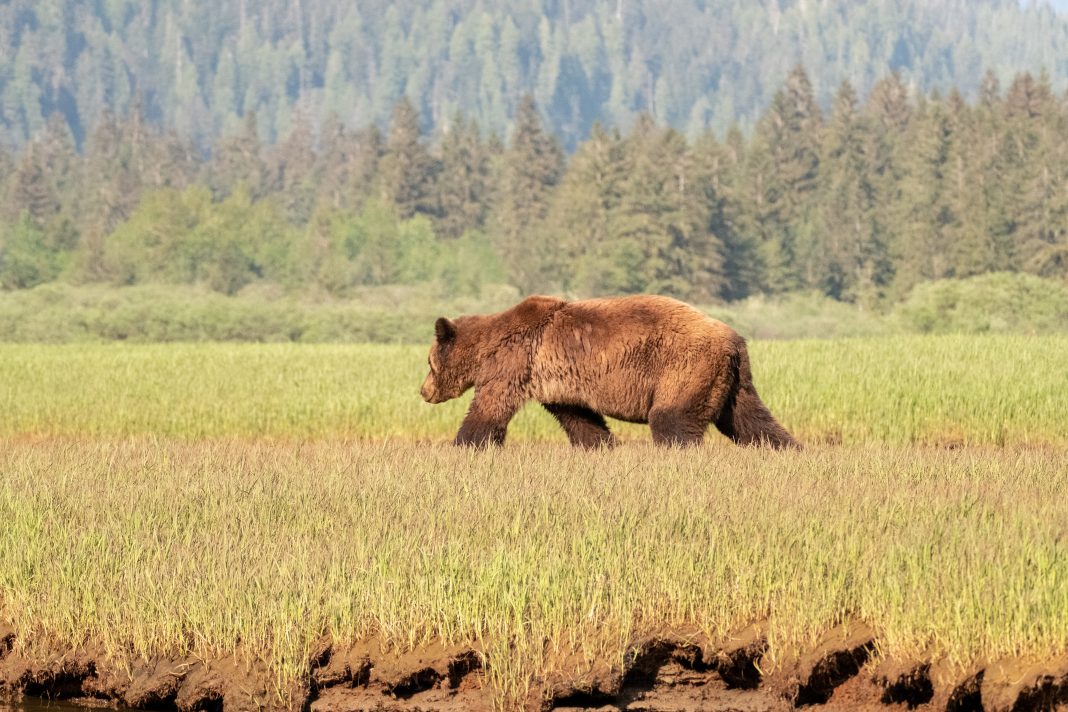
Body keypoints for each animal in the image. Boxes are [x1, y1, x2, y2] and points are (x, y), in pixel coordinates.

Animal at [420, 296, 798, 450]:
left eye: (428, 362)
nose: (423, 391)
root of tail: (734, 339)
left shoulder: (514, 363)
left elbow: (489, 410)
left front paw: (464, 445)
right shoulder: (558, 382)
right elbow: (580, 418)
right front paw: (601, 445)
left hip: (685, 367)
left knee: (673, 420)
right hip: (733, 381)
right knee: (751, 421)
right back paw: (788, 449)